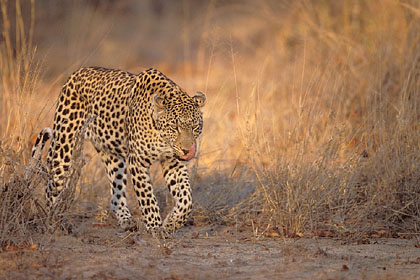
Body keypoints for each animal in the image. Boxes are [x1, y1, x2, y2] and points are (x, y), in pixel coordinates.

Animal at [30, 66, 205, 233]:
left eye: (195, 127)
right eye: (175, 127)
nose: (187, 150)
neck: (162, 137)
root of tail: (77, 72)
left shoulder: (173, 163)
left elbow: (186, 200)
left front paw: (170, 223)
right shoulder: (138, 162)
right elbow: (147, 198)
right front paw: (156, 228)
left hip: (112, 156)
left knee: (115, 194)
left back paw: (127, 221)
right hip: (63, 147)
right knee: (52, 188)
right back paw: (54, 222)